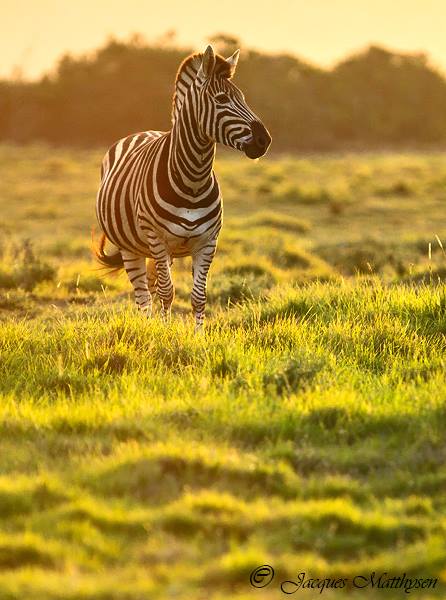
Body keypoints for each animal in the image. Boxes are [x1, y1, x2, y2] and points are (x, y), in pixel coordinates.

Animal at [95, 46, 272, 328]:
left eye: (243, 99)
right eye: (222, 99)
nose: (264, 140)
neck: (193, 180)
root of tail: (144, 132)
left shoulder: (208, 242)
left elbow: (198, 296)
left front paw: (198, 334)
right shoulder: (158, 239)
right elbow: (167, 292)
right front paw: (166, 332)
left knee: (152, 289)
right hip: (131, 248)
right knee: (144, 297)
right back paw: (148, 327)